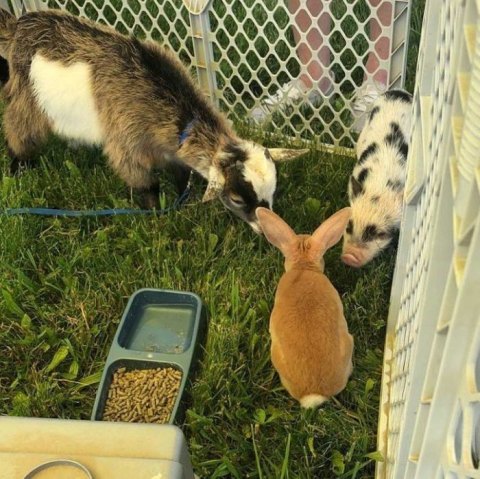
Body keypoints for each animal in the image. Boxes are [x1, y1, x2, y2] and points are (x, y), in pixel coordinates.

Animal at [0, 7, 308, 232]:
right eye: (236, 198)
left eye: (273, 191)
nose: (266, 228)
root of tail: (19, 24)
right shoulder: (125, 141)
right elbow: (142, 180)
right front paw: (155, 210)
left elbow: (181, 173)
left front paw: (182, 197)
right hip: (28, 95)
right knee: (18, 126)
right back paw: (18, 167)